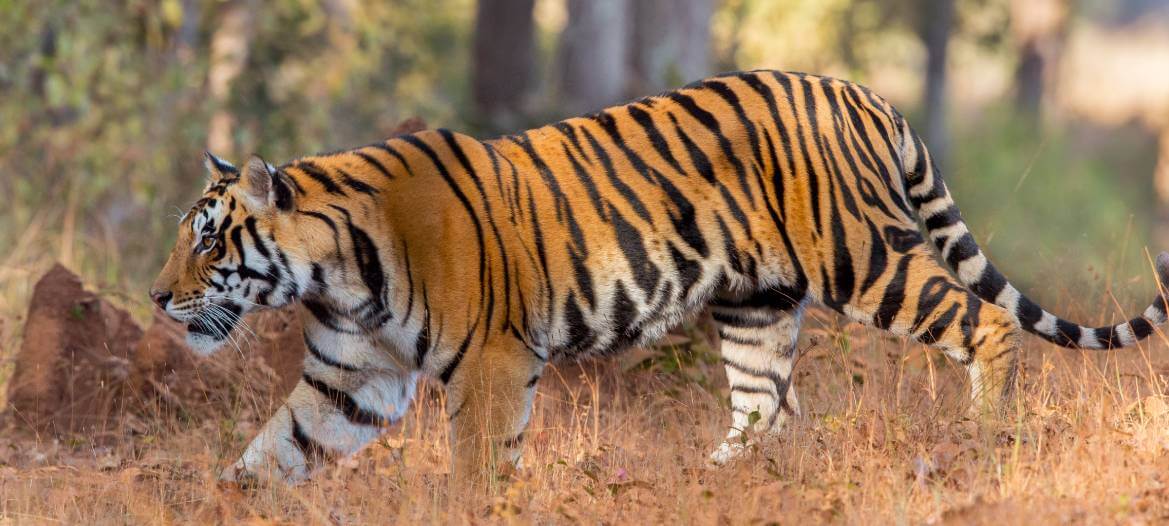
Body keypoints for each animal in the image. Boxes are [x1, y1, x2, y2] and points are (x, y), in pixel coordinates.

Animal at [150, 69, 1169, 485]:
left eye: (206, 241)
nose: (158, 298)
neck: (332, 273)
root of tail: (860, 90)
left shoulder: (490, 363)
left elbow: (476, 467)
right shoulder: (348, 378)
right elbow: (270, 454)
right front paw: (222, 504)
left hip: (863, 257)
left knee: (979, 323)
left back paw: (984, 438)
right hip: (756, 306)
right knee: (764, 414)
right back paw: (718, 483)